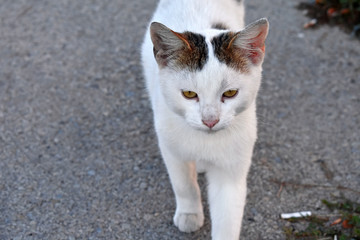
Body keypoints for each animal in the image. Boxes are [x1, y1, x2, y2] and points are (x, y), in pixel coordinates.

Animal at [141, 0, 268, 239]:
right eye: (189, 94)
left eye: (230, 93)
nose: (210, 120)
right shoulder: (171, 149)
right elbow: (184, 185)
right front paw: (189, 214)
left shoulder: (231, 168)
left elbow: (227, 217)